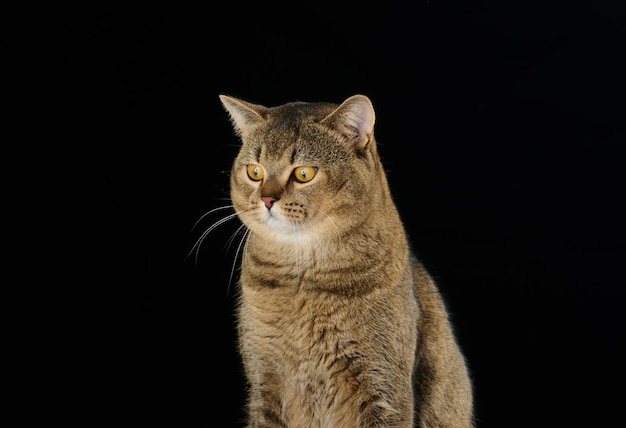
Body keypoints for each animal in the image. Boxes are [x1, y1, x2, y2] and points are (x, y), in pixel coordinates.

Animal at [211, 94, 472, 428]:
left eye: (304, 173)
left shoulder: (383, 386)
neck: (302, 282)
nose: (267, 199)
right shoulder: (263, 382)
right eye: (255, 172)